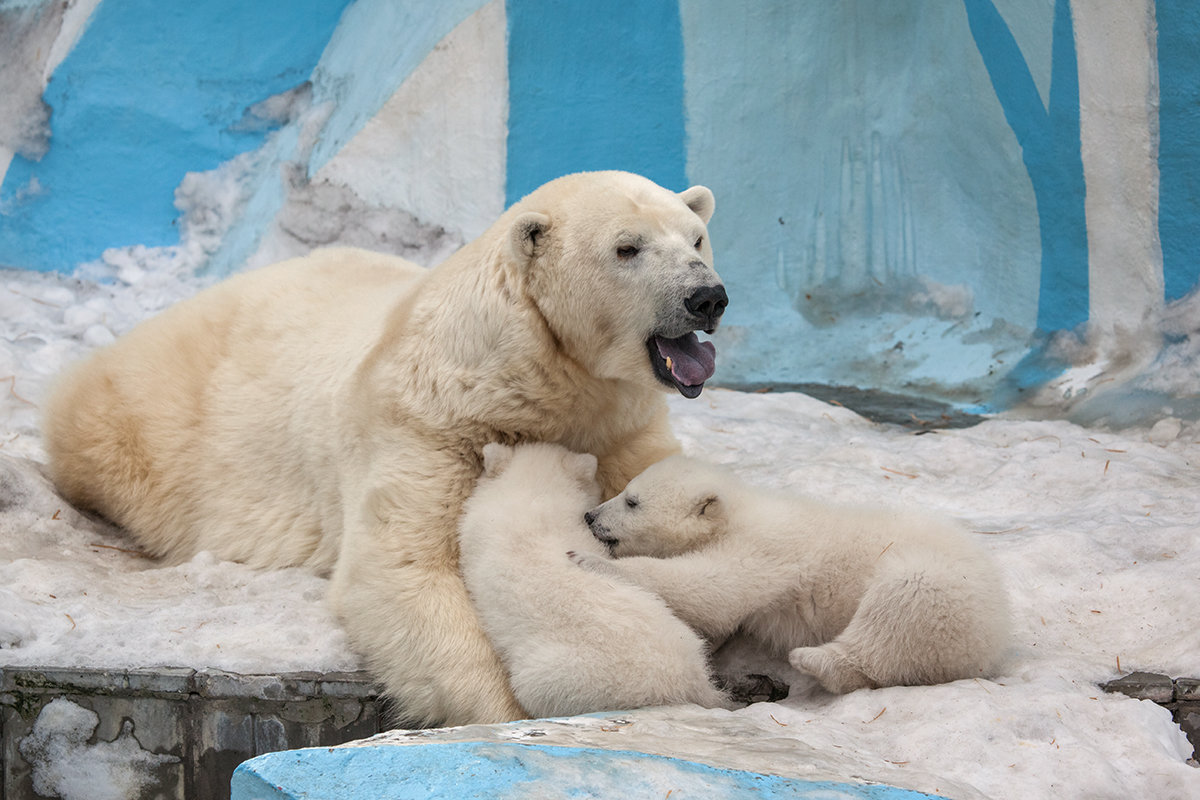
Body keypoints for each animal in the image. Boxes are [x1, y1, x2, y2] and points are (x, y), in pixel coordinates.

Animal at [573, 455, 1012, 695]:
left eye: (632, 501)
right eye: (625, 491)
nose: (590, 516)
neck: (737, 515)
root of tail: (997, 636)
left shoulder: (764, 549)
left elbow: (713, 590)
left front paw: (587, 559)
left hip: (939, 586)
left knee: (898, 610)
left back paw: (813, 660)